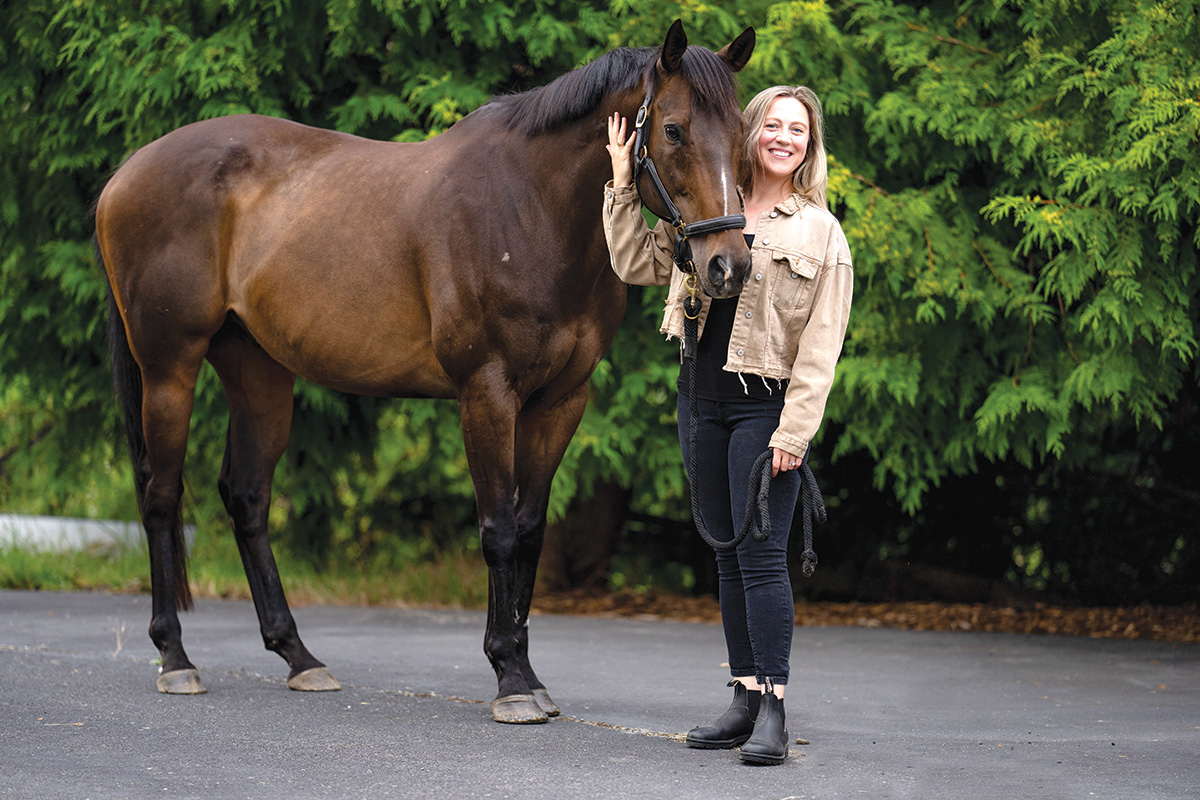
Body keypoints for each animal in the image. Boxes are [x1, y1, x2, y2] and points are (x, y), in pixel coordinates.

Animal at [96, 21, 748, 724]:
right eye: (674, 130)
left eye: (742, 131)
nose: (728, 266)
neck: (530, 207)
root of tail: (126, 173)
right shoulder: (486, 393)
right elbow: (497, 530)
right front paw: (510, 680)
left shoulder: (560, 401)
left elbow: (530, 531)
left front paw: (528, 672)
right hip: (169, 366)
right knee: (161, 496)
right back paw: (176, 658)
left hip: (258, 370)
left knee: (246, 496)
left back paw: (299, 657)